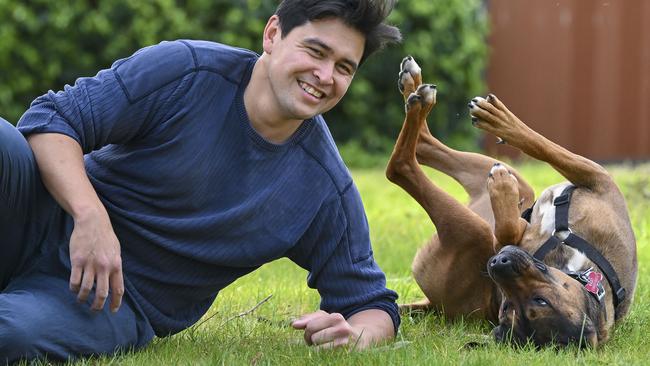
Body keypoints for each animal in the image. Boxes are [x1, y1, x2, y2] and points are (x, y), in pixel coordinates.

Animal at [384, 55, 636, 348]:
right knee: (425, 146)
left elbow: (506, 228)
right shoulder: (597, 177)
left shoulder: (501, 240)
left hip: (473, 229)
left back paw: (419, 101)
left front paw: (502, 188)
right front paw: (503, 124)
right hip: (509, 181)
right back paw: (414, 85)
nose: (498, 263)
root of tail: (433, 305)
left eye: (537, 301)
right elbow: (541, 145)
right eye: (510, 305)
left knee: (400, 167)